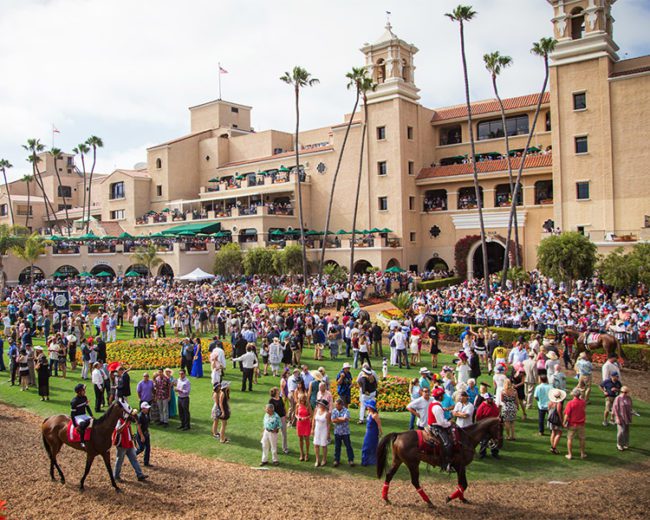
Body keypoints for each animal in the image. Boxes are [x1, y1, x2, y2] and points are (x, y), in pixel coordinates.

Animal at [374, 418, 502, 508]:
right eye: (500, 427)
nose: (499, 444)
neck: (467, 439)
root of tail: (399, 434)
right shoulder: (460, 466)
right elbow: (464, 484)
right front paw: (449, 498)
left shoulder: (461, 467)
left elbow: (461, 483)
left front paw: (462, 499)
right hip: (413, 463)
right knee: (415, 482)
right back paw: (428, 501)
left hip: (398, 460)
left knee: (389, 475)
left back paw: (385, 498)